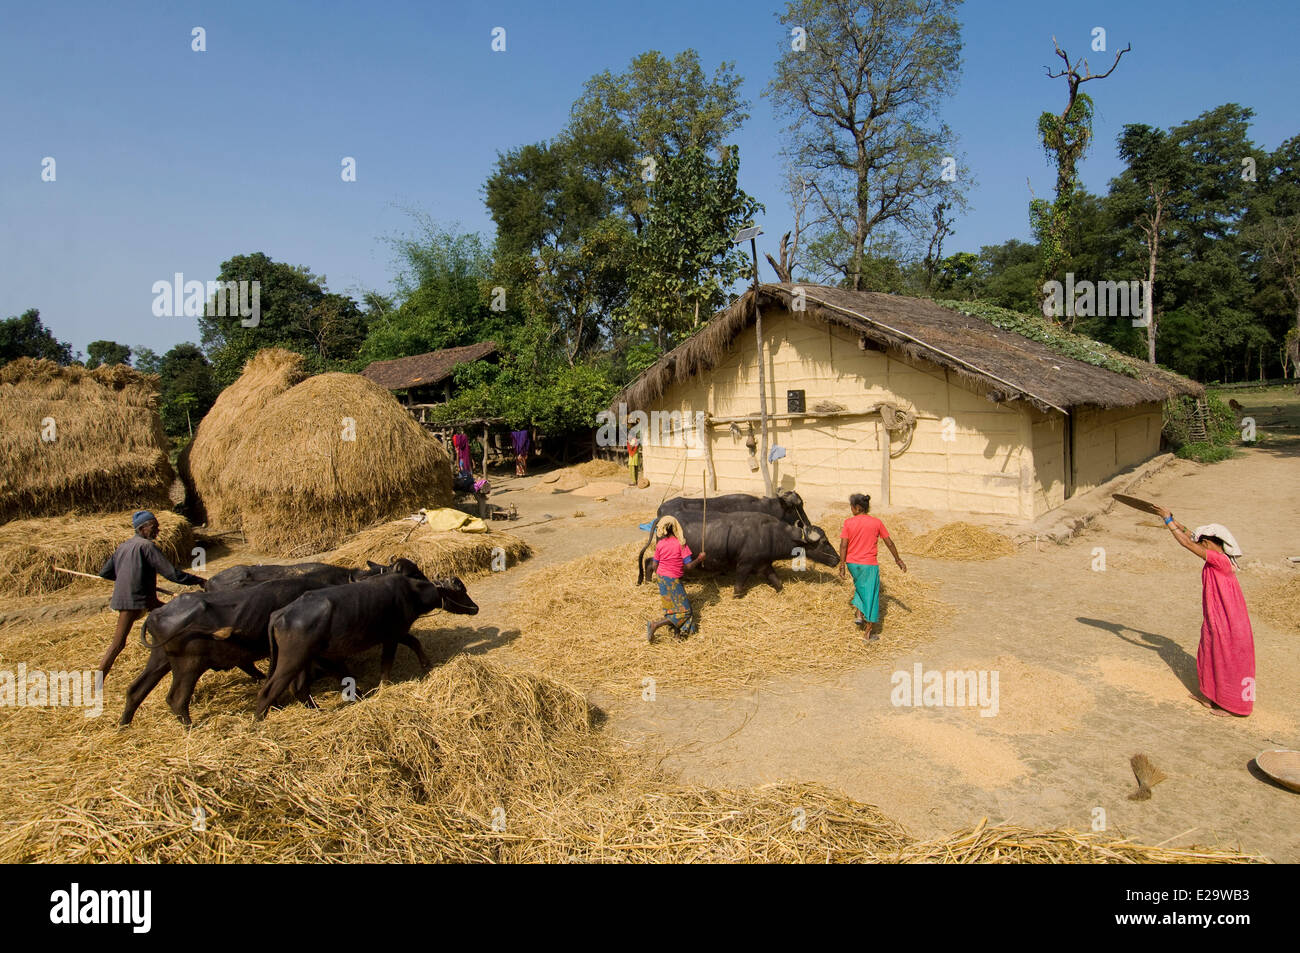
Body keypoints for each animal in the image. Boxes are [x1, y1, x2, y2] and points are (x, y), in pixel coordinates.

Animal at [253, 569, 478, 717]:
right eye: (460, 590)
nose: (475, 608)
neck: (412, 593)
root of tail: (280, 613)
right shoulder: (392, 636)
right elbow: (387, 663)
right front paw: (385, 686)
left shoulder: (397, 633)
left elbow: (414, 642)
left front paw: (426, 664)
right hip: (292, 660)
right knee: (268, 692)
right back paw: (259, 720)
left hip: (306, 659)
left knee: (299, 687)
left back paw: (318, 709)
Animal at [637, 512, 832, 595]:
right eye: (824, 542)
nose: (836, 559)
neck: (770, 533)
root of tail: (663, 521)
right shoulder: (745, 565)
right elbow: (739, 585)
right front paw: (737, 594)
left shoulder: (764, 564)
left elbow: (776, 581)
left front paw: (780, 590)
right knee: (650, 562)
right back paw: (648, 581)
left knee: (648, 561)